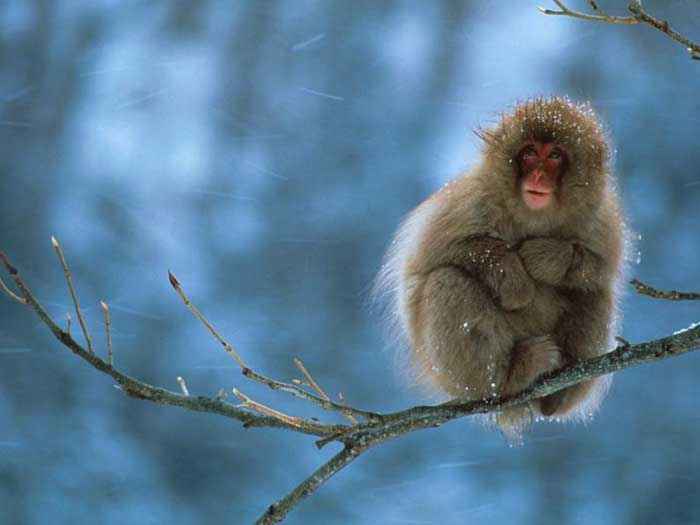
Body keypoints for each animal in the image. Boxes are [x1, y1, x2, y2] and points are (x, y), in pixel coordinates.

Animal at [380, 97, 628, 438]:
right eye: (529, 153)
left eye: (554, 155)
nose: (538, 177)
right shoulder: (472, 199)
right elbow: (433, 258)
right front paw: (515, 282)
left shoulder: (600, 216)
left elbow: (602, 267)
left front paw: (545, 256)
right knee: (446, 281)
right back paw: (508, 378)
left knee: (595, 292)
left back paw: (557, 396)